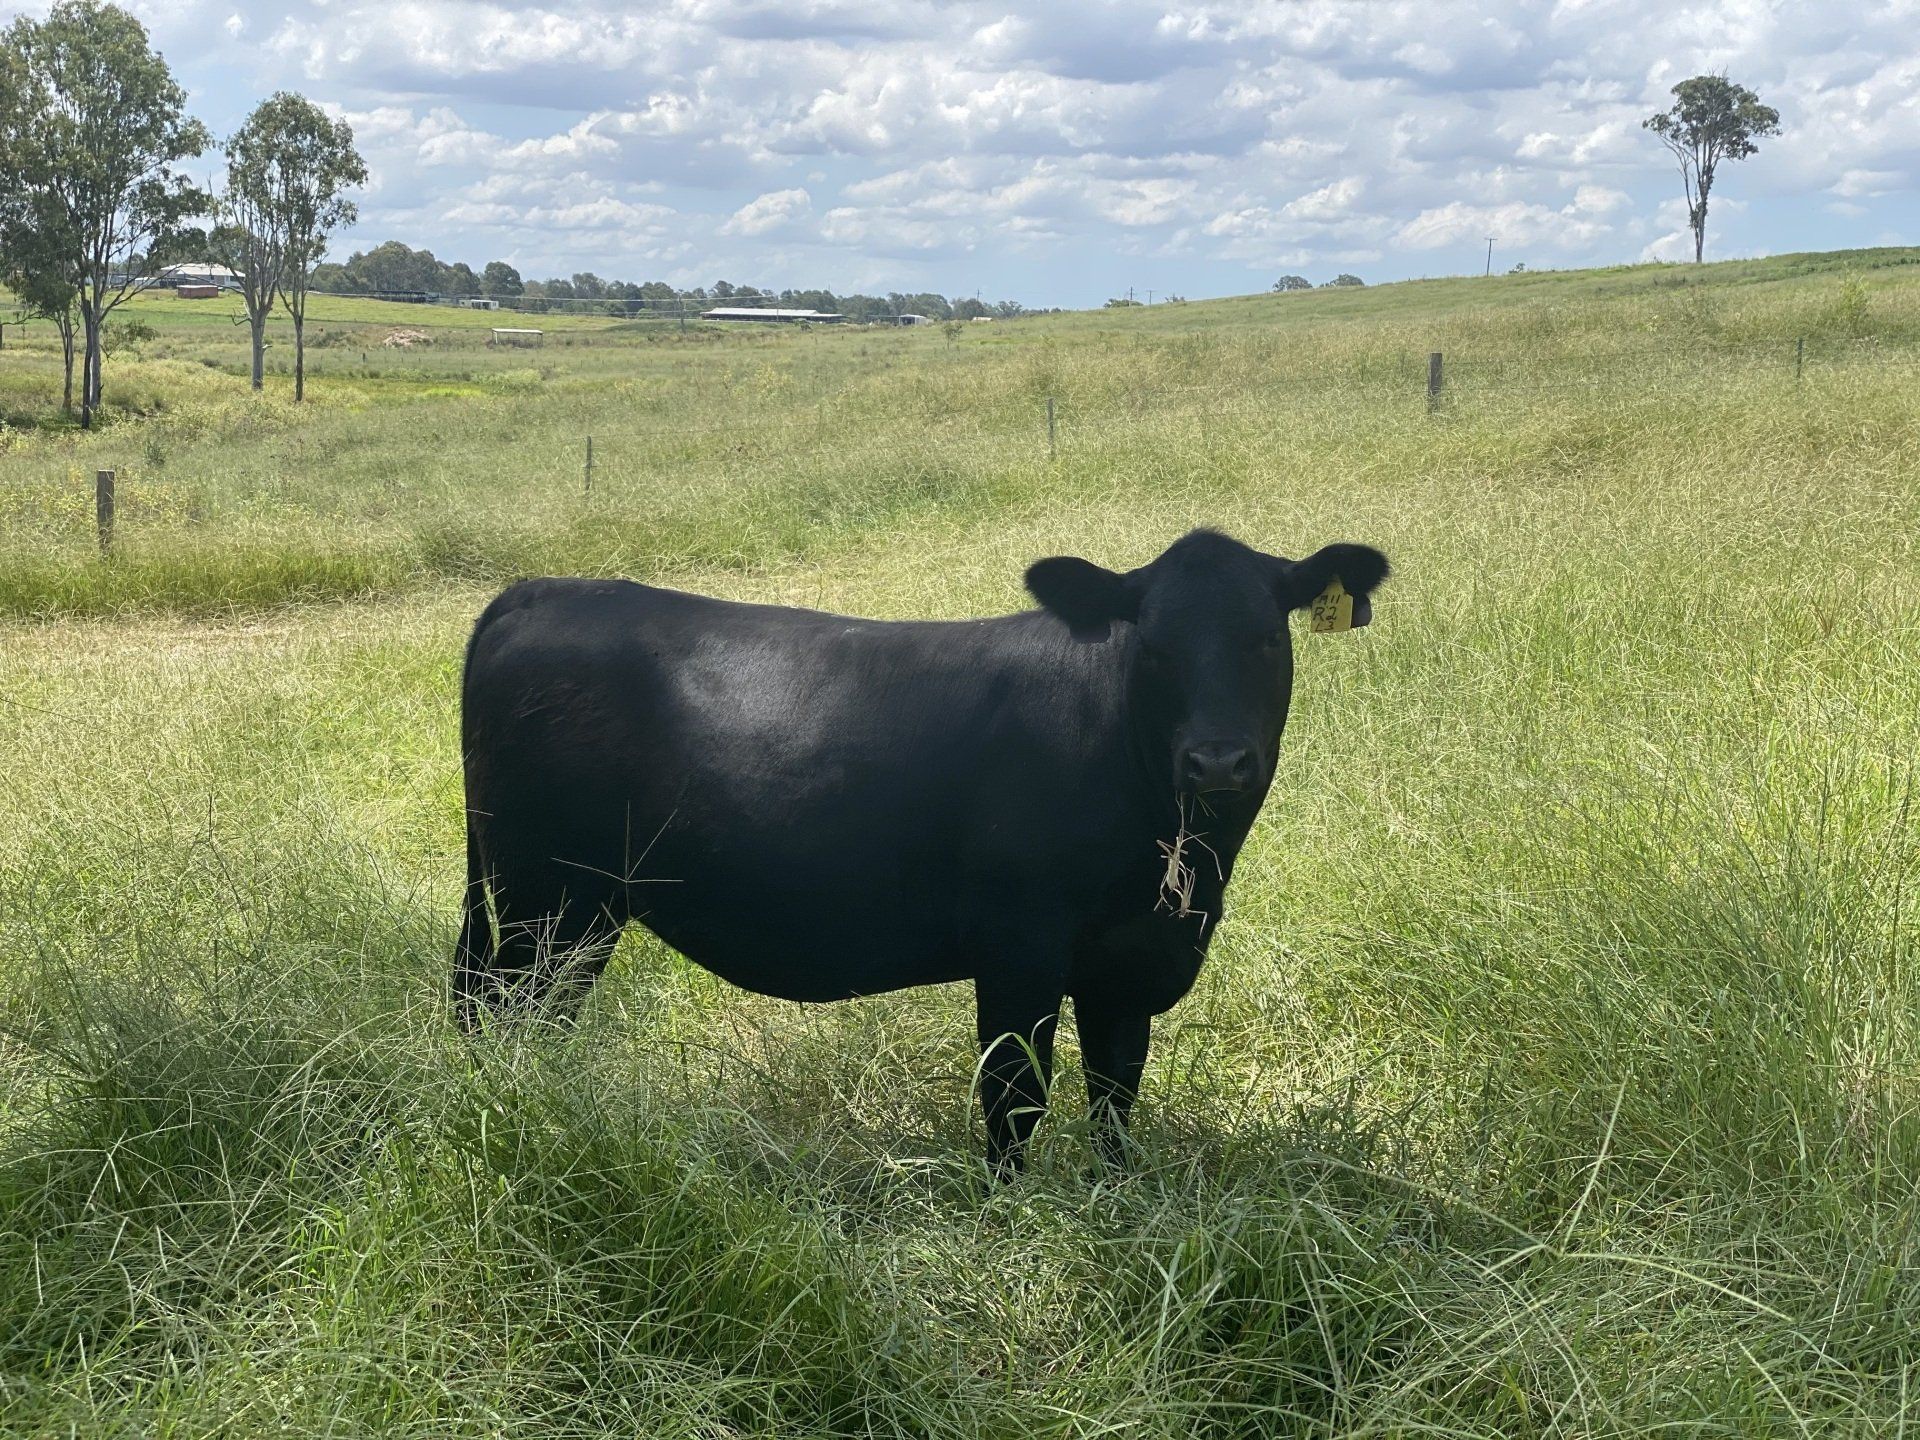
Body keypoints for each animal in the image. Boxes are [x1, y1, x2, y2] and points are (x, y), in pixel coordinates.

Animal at [464, 529, 1397, 1175]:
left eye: (1267, 639)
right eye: (1155, 646)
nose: (1217, 760)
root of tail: (538, 592)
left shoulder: (1128, 963)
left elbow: (1115, 1095)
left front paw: (1117, 1200)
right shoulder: (1020, 947)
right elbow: (1015, 1097)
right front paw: (1007, 1217)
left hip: (565, 905)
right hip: (545, 898)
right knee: (506, 1016)